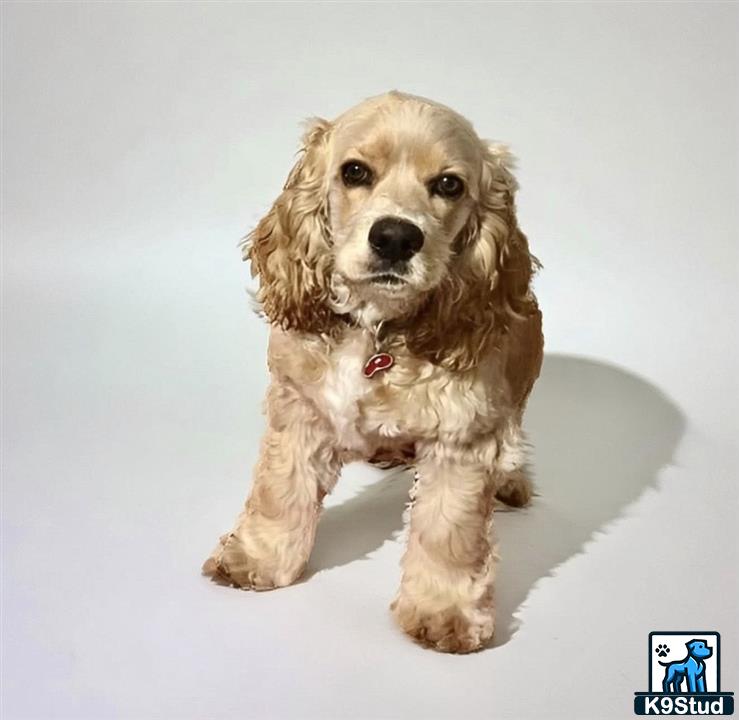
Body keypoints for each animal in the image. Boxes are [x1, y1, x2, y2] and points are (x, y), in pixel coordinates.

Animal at [202, 90, 544, 652]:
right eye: (355, 172)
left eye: (449, 184)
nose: (396, 237)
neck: (376, 332)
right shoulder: (300, 407)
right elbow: (279, 492)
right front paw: (256, 558)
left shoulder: (462, 435)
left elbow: (448, 531)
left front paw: (443, 613)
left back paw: (510, 480)